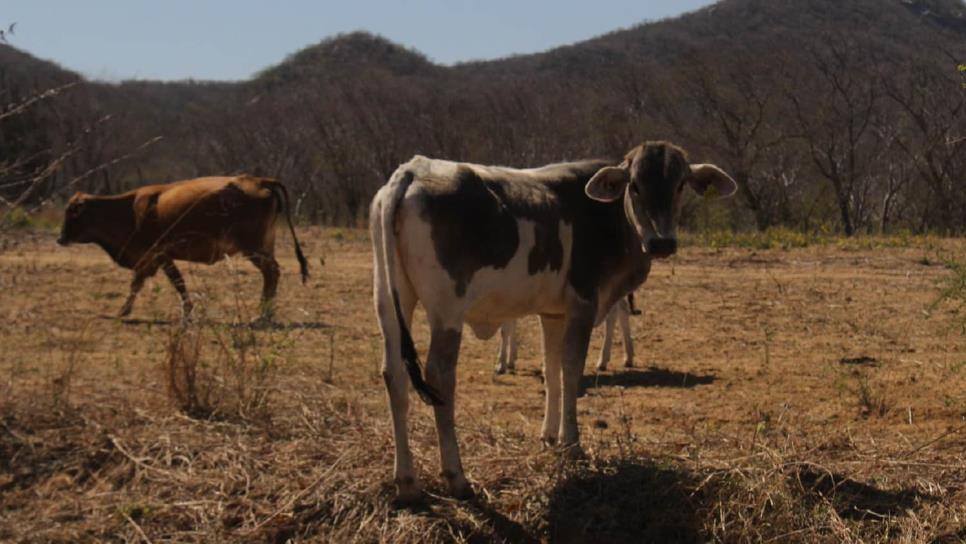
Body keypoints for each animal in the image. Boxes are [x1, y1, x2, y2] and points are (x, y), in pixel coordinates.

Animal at [55, 174, 310, 320]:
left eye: (72, 212)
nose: (60, 239)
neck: (128, 209)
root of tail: (259, 180)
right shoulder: (153, 259)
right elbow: (141, 283)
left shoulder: (157, 254)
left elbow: (171, 282)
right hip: (265, 246)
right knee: (272, 273)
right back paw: (266, 312)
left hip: (254, 249)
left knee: (271, 272)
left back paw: (263, 314)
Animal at [500, 294, 644, 374]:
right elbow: (510, 323)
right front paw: (510, 360)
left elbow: (505, 328)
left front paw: (501, 364)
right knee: (623, 309)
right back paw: (628, 358)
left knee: (613, 314)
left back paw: (602, 361)